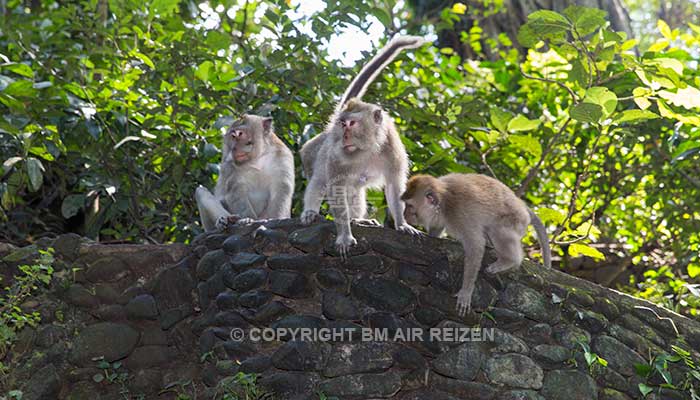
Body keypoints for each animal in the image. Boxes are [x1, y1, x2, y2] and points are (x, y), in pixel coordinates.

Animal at [298, 36, 424, 255]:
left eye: (352, 123)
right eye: (343, 124)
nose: (344, 136)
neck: (368, 148)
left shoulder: (392, 150)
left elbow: (394, 185)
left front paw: (402, 224)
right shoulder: (335, 154)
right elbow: (336, 188)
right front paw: (344, 236)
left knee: (354, 190)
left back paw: (357, 219)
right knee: (320, 180)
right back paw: (311, 212)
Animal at [400, 173, 552, 318]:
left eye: (410, 206)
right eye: (406, 205)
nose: (404, 215)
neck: (443, 202)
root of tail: (521, 204)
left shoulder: (460, 215)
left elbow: (476, 246)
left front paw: (466, 292)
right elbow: (437, 227)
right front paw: (431, 235)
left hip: (515, 219)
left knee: (497, 230)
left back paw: (509, 261)